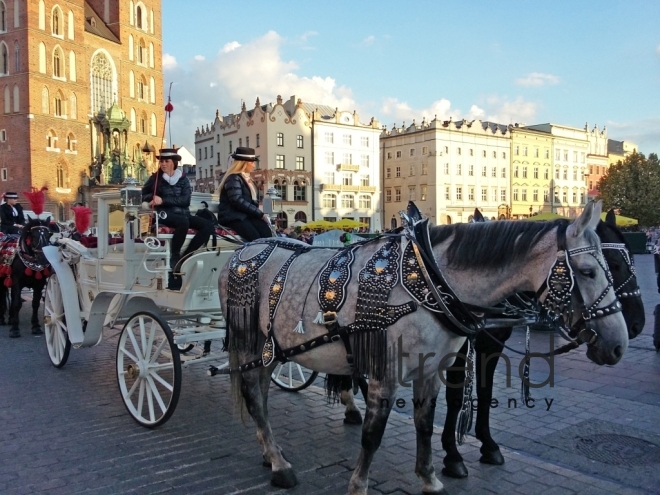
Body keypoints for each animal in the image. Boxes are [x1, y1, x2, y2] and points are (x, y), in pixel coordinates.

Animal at [219, 202, 628, 495]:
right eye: (589, 271)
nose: (619, 345)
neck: (430, 280)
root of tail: (240, 252)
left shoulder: (431, 369)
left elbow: (424, 423)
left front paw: (430, 477)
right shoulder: (385, 373)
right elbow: (373, 434)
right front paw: (359, 485)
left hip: (271, 349)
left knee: (261, 394)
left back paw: (271, 454)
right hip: (248, 343)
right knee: (254, 397)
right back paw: (280, 466)